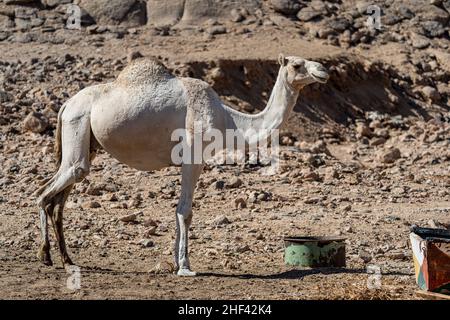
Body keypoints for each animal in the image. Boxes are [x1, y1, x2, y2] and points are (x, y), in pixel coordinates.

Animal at [35, 53, 328, 276]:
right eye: (297, 65)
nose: (323, 70)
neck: (229, 120)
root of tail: (66, 104)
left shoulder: (192, 160)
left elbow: (179, 210)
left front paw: (176, 263)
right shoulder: (193, 156)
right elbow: (185, 211)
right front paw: (185, 267)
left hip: (88, 141)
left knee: (57, 197)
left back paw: (67, 260)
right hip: (78, 124)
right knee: (47, 190)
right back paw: (46, 255)